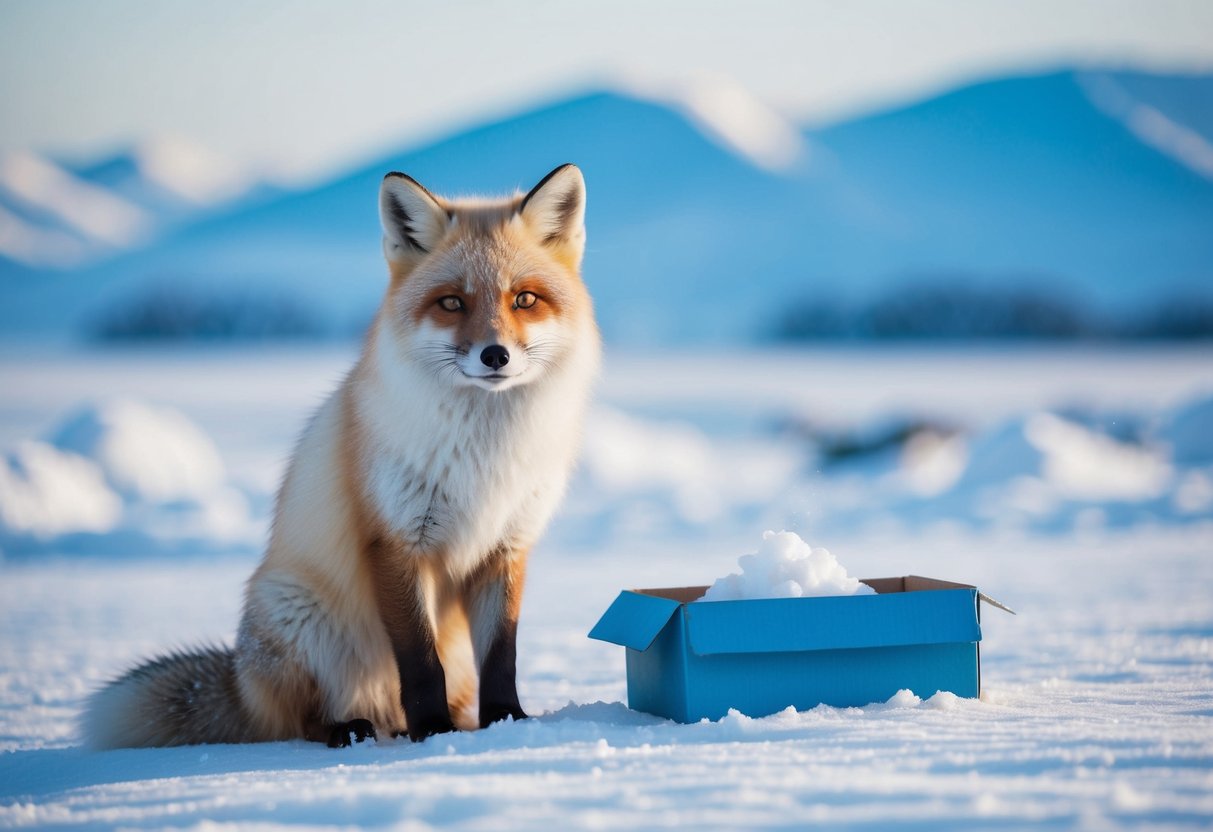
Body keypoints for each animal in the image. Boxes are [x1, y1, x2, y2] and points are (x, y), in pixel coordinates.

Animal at [82, 164, 600, 748]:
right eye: (452, 303)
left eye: (524, 300)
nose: (495, 355)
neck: (485, 455)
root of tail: (239, 679)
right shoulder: (395, 540)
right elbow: (419, 661)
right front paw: (432, 732)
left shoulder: (507, 545)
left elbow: (502, 656)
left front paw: (505, 723)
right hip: (297, 613)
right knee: (300, 719)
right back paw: (351, 729)